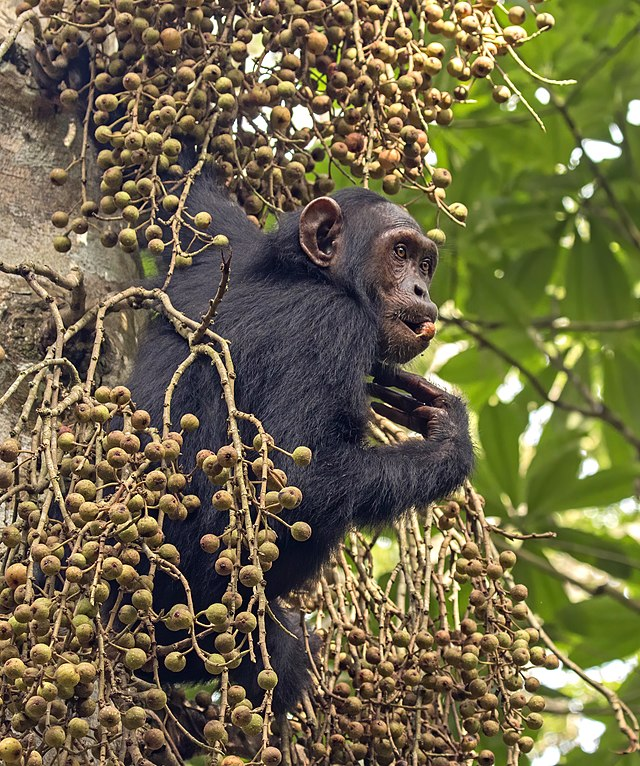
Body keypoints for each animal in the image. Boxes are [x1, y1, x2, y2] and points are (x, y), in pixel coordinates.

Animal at [126, 172, 476, 712]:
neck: (310, 277)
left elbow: (177, 198)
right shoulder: (331, 328)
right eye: (399, 252)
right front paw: (450, 436)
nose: (420, 286)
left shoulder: (220, 251)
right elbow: (296, 483)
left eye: (425, 264)